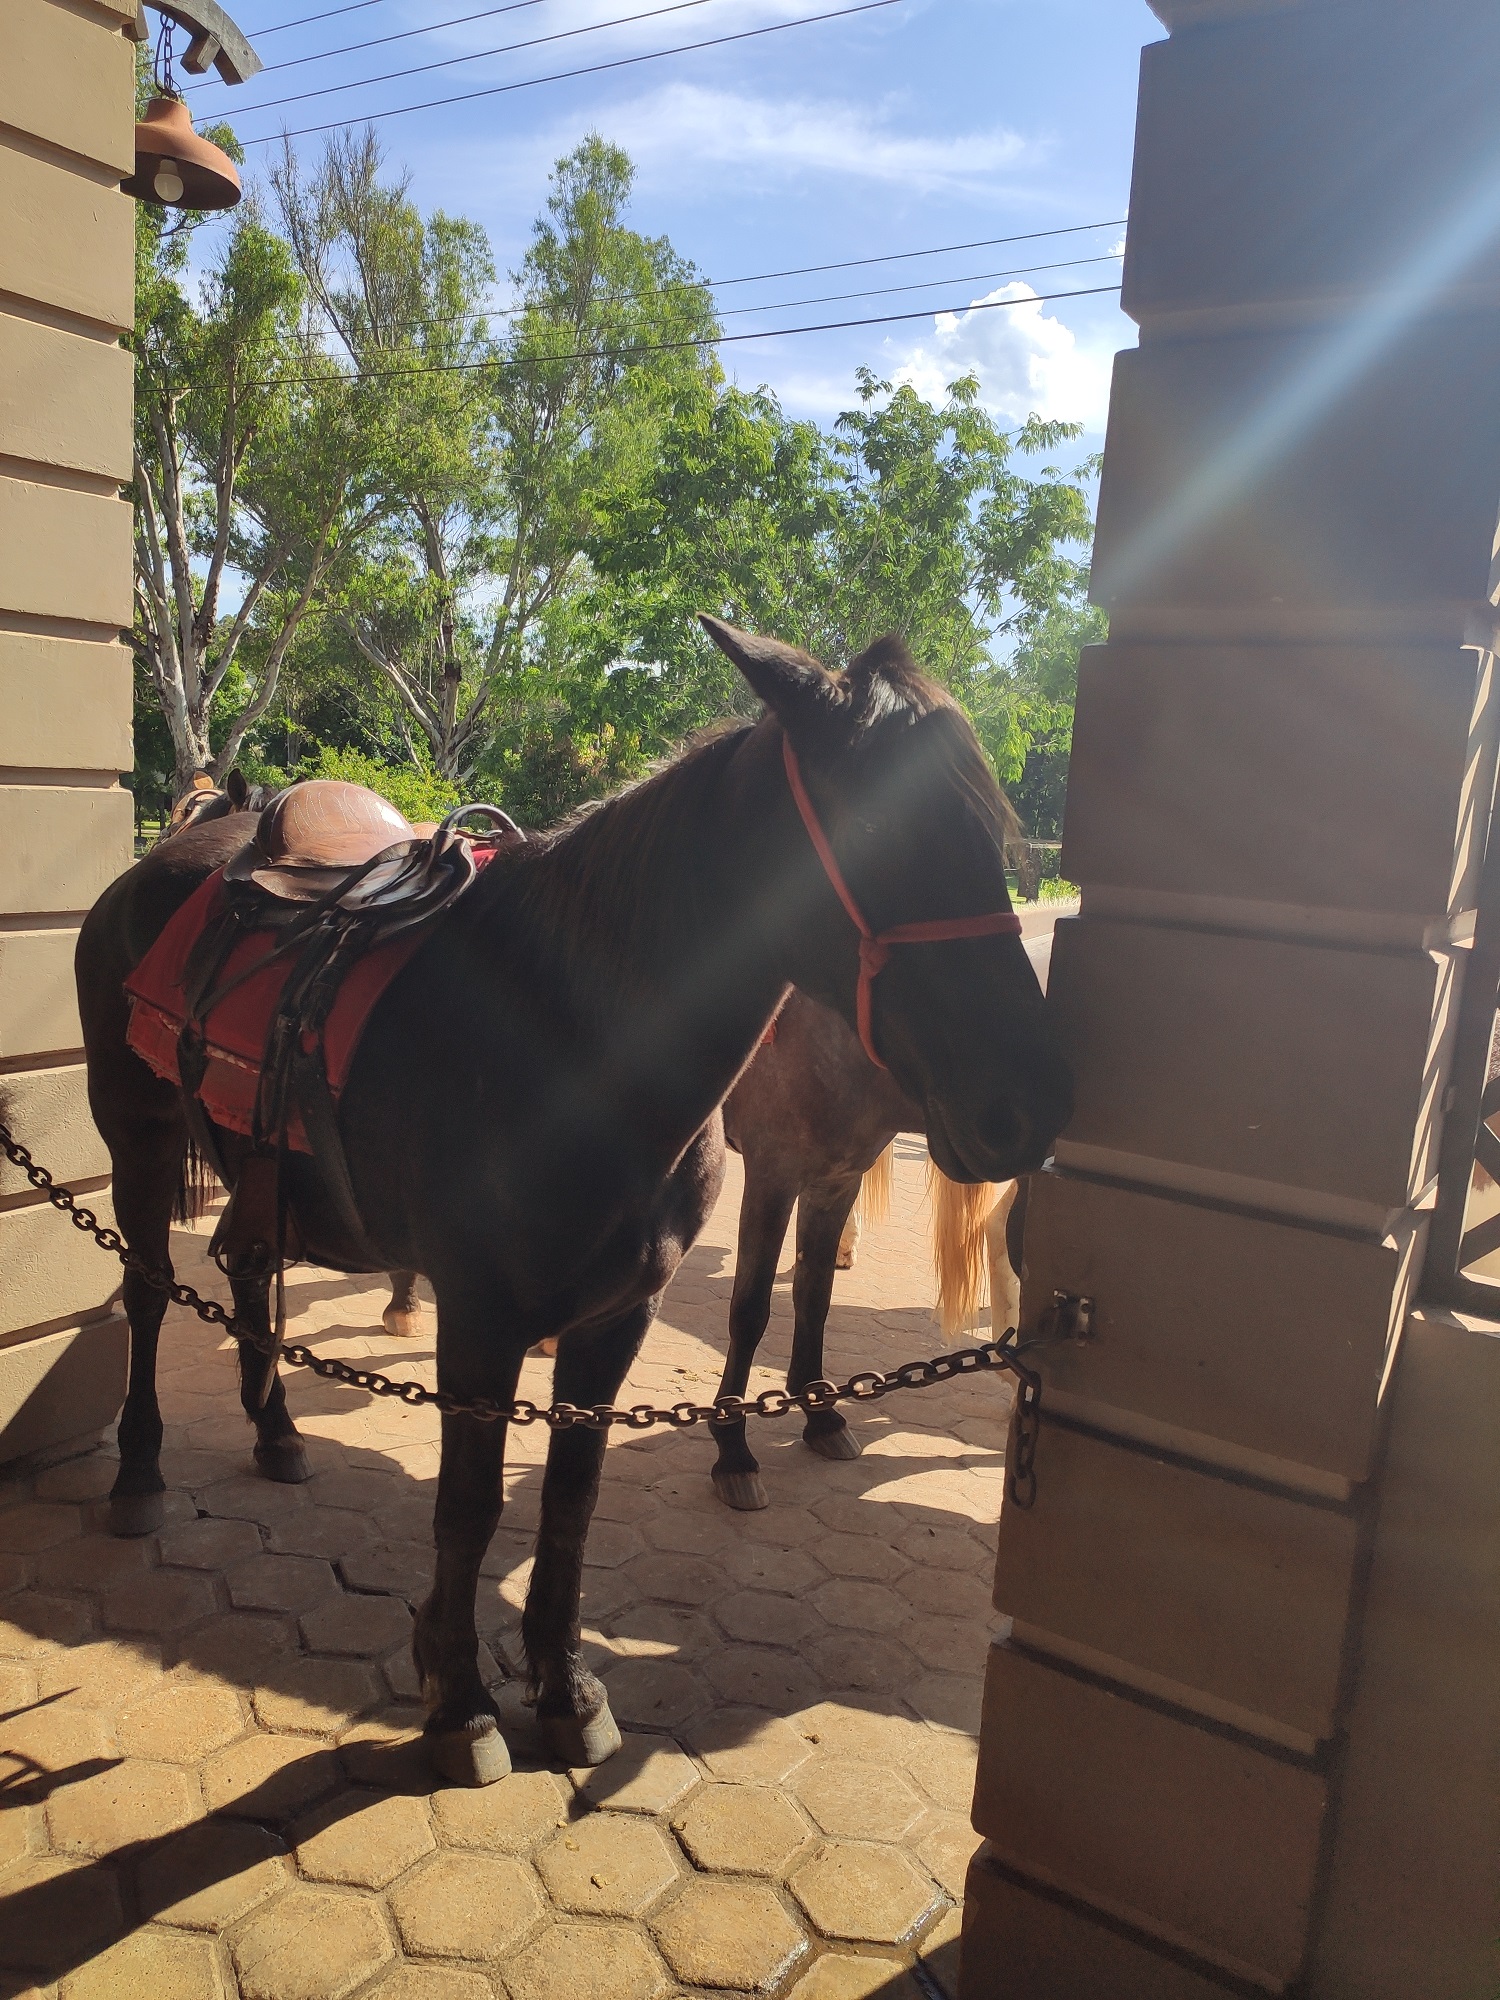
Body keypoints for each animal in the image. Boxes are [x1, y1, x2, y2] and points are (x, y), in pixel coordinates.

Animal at [79, 620, 1072, 1784]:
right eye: (877, 828)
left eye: (991, 831)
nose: (1030, 1101)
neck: (570, 1045)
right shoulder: (479, 1321)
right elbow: (468, 1506)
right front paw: (459, 1700)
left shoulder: (618, 1317)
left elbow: (570, 1496)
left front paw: (561, 1686)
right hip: (139, 1141)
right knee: (151, 1292)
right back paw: (138, 1472)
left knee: (244, 1265)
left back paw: (276, 1431)